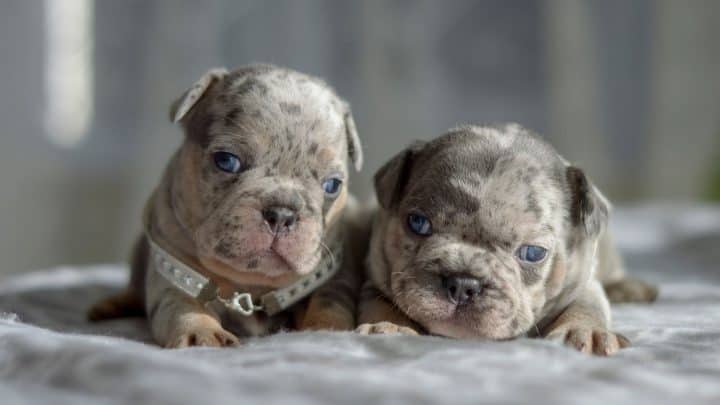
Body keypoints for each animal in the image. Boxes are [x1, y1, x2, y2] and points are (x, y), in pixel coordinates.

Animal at [87, 64, 362, 348]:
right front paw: (201, 333)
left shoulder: (332, 274)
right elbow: (181, 304)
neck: (251, 287)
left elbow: (329, 300)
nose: (282, 214)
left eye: (332, 185)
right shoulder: (173, 270)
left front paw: (326, 329)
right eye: (227, 161)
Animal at [358, 124, 656, 356]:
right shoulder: (374, 282)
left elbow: (586, 306)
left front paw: (586, 331)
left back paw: (628, 288)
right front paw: (391, 326)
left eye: (533, 253)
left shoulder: (584, 284)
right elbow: (383, 303)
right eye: (418, 223)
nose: (463, 283)